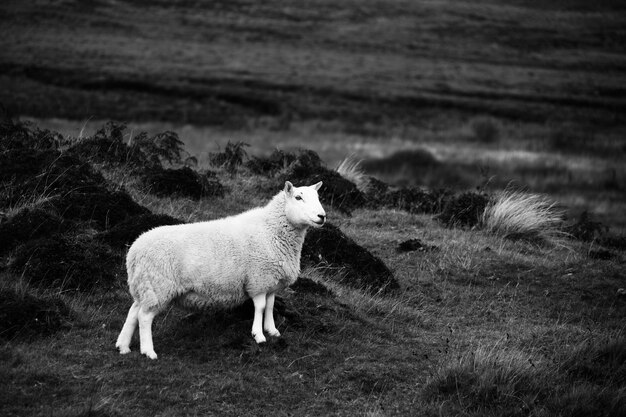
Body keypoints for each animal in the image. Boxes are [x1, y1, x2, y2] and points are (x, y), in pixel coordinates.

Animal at [114, 180, 324, 358]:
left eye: (318, 197)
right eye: (298, 197)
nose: (322, 216)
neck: (271, 230)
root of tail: (134, 251)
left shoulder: (270, 282)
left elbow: (270, 307)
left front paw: (272, 330)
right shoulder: (258, 279)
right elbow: (260, 307)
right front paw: (258, 335)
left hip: (145, 286)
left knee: (134, 311)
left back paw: (123, 346)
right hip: (158, 286)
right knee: (144, 317)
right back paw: (149, 351)